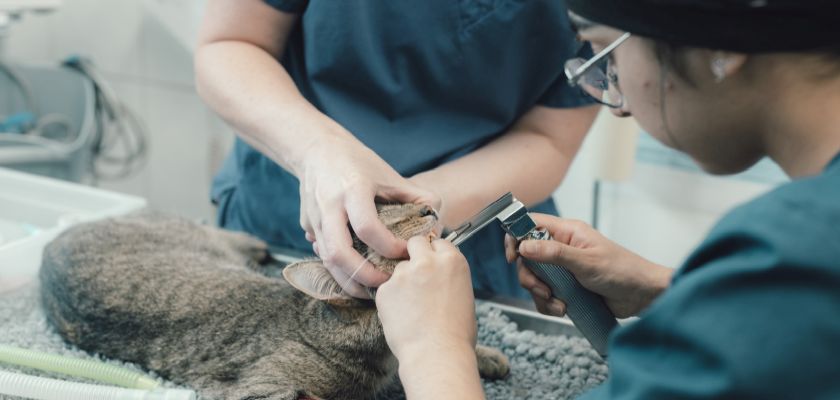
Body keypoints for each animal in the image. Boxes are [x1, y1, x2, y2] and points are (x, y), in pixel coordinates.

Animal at [39, 205, 508, 398]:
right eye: (379, 233)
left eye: (400, 203)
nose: (428, 206)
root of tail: (50, 244)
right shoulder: (257, 390)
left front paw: (486, 355)